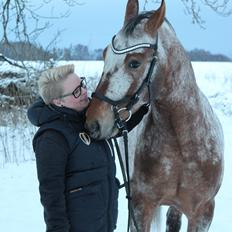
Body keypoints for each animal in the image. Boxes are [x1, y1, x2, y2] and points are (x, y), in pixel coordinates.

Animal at [84, 0, 224, 231]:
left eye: (134, 62)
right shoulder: (141, 207)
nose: (92, 123)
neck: (181, 143)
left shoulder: (203, 212)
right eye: (105, 55)